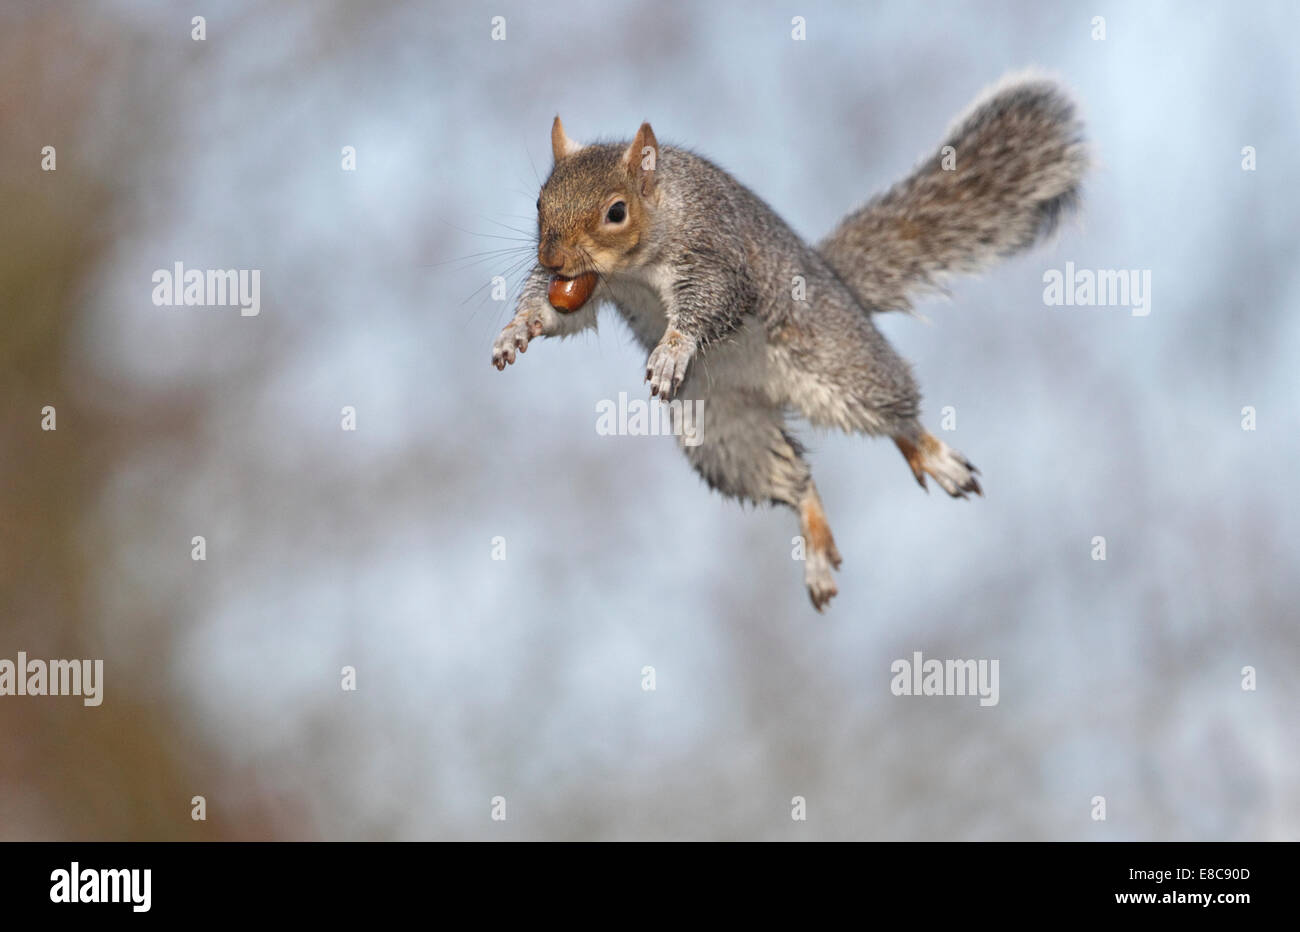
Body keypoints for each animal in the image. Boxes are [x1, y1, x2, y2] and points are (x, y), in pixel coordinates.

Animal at [488, 72, 1086, 610]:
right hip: (724, 430)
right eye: (540, 202)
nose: (551, 257)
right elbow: (556, 311)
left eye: (616, 212)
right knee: (796, 480)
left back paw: (934, 456)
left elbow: (710, 302)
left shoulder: (715, 256)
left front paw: (674, 348)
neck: (638, 261)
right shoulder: (589, 287)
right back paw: (816, 545)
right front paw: (517, 331)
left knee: (898, 418)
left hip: (841, 362)